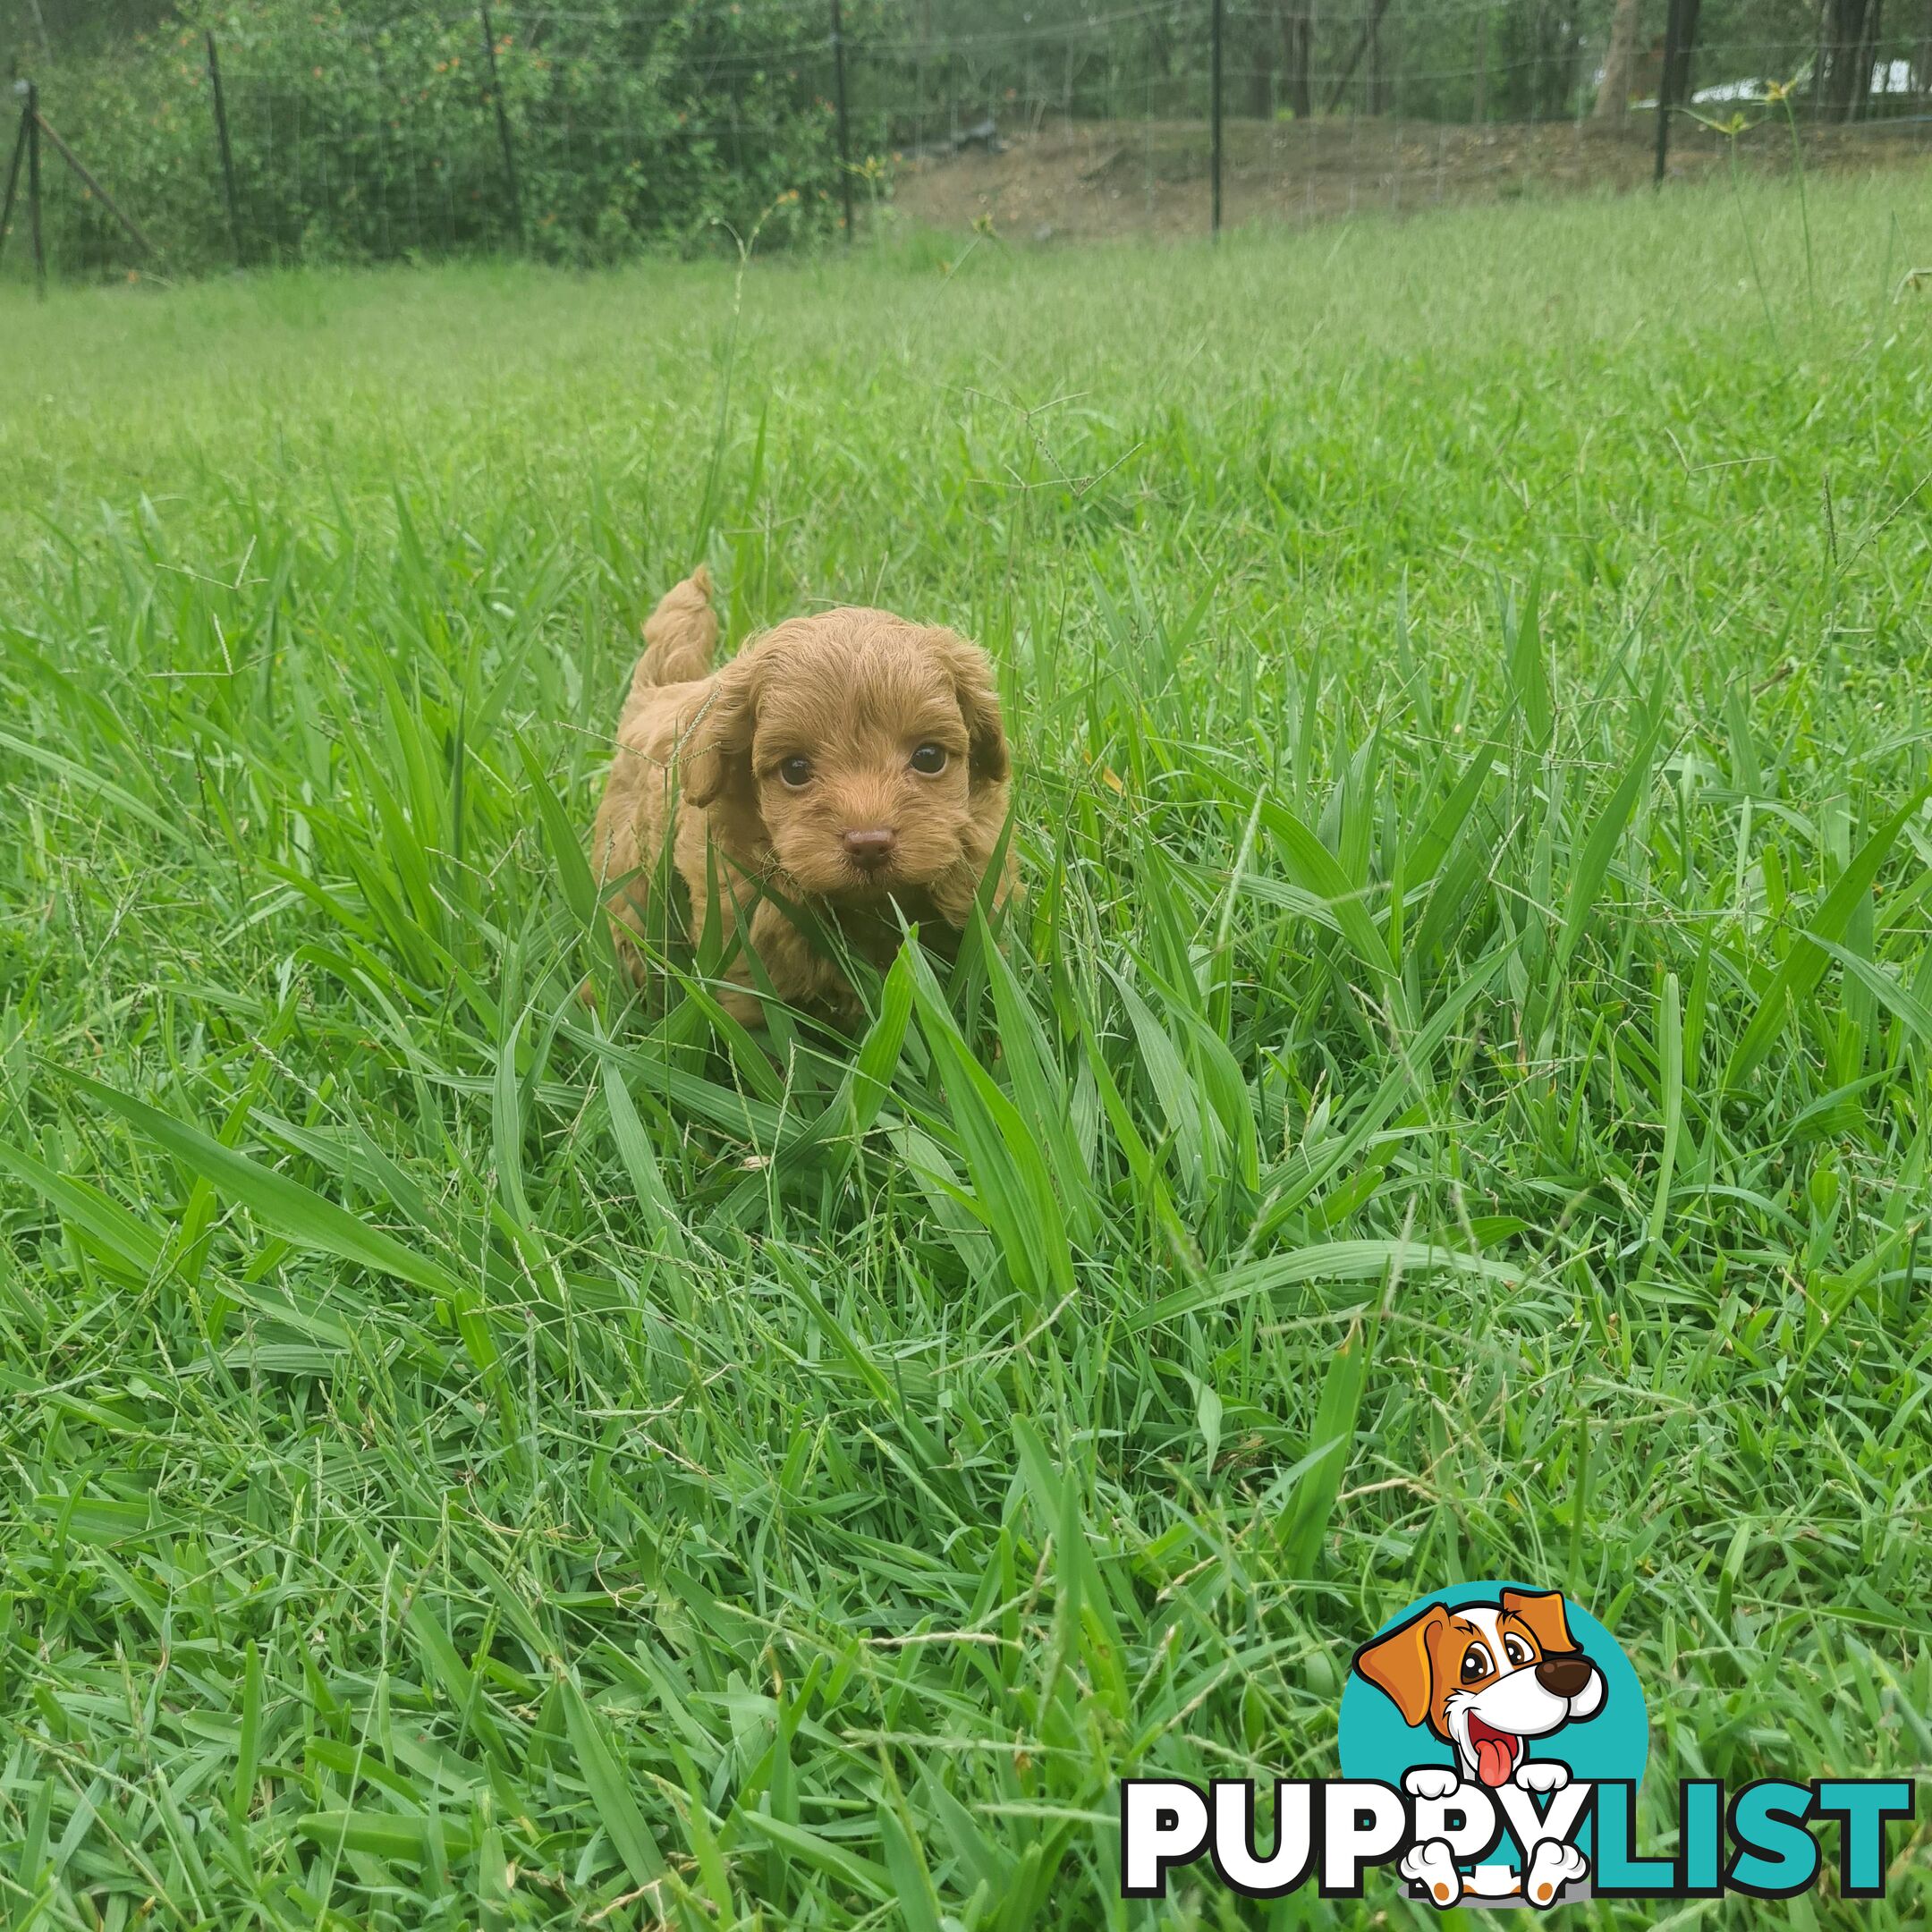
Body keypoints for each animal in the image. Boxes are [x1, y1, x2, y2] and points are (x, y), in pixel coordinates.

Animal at [587, 564, 1012, 1028]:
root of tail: (658, 692)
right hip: (627, 870)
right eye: (795, 769)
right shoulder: (745, 949)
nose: (869, 844)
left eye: (929, 757)